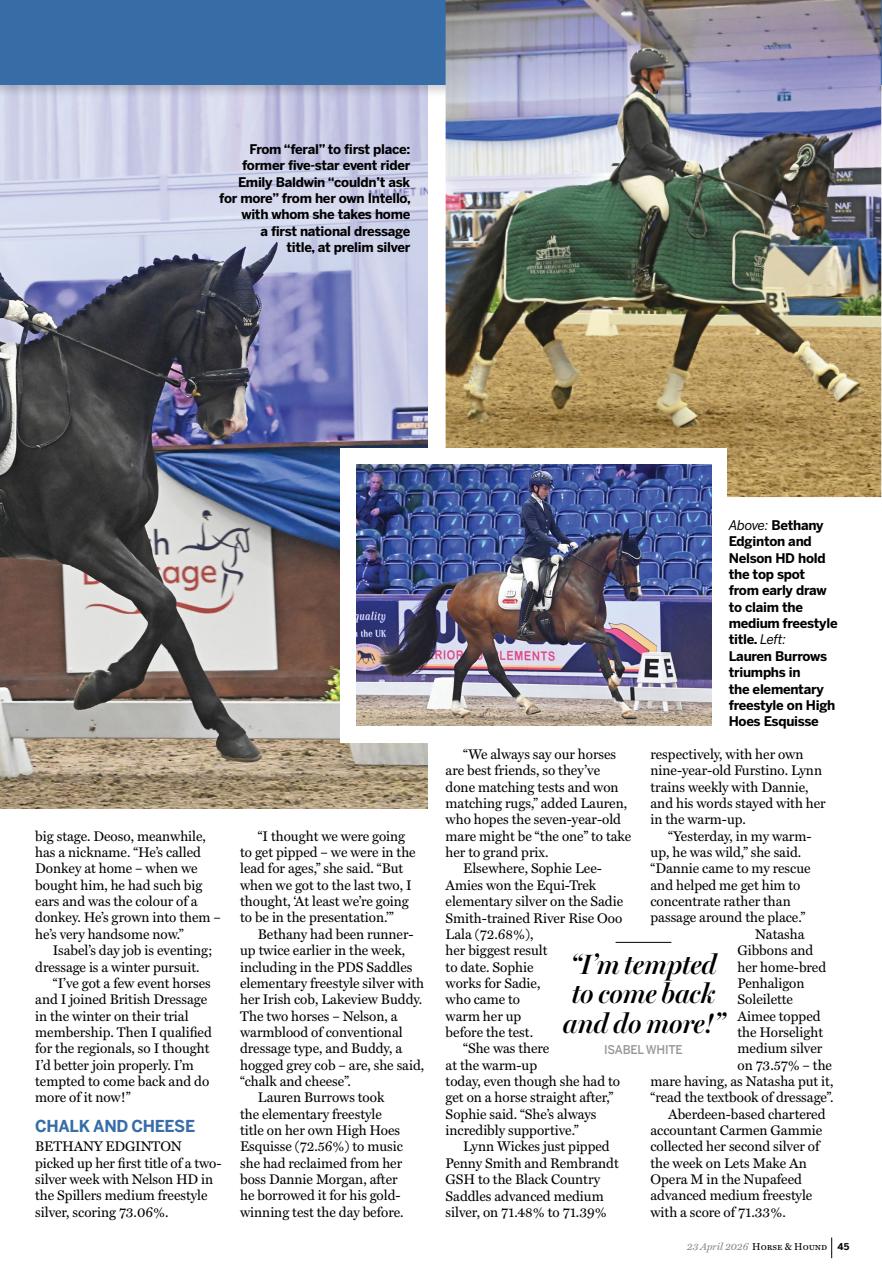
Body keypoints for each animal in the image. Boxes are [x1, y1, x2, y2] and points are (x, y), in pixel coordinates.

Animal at [0, 243, 278, 761]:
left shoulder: (129, 533)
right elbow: (163, 603)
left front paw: (228, 729)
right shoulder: (83, 540)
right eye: (222, 330)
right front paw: (99, 684)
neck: (90, 394)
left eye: (255, 333)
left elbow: (169, 615)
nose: (229, 424)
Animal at [381, 529, 644, 719]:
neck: (580, 582)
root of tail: (459, 585)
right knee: (495, 668)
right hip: (481, 632)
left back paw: (458, 708)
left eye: (639, 560)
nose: (635, 595)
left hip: (474, 636)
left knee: (460, 667)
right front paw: (619, 676)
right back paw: (527, 704)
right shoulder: (578, 631)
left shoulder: (593, 631)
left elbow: (605, 663)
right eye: (626, 561)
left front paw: (623, 706)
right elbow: (612, 642)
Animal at [447, 133, 859, 427]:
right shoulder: (738, 296)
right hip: (525, 290)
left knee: (539, 323)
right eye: (817, 175)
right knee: (496, 331)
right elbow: (786, 335)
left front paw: (674, 407)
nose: (815, 228)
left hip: (571, 291)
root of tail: (519, 203)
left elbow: (683, 354)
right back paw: (477, 402)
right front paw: (837, 381)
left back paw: (564, 384)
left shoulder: (705, 304)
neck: (732, 202)